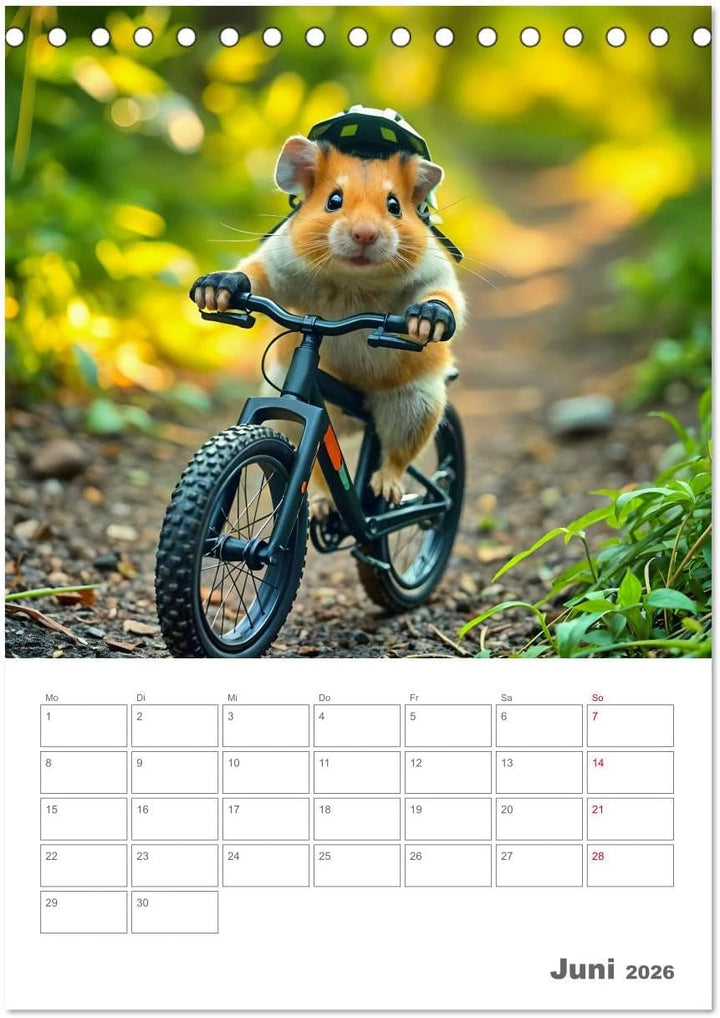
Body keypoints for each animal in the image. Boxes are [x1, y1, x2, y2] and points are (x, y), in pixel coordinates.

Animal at [191, 135, 466, 508]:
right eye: (333, 200)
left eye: (395, 205)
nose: (364, 234)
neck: (352, 282)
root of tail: (360, 415)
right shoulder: (280, 263)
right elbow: (256, 276)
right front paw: (218, 287)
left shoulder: (432, 268)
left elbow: (444, 294)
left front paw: (429, 318)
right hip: (295, 407)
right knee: (321, 470)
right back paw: (322, 504)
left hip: (415, 404)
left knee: (397, 455)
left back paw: (387, 487)